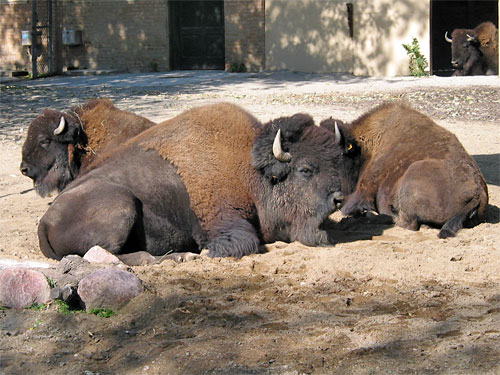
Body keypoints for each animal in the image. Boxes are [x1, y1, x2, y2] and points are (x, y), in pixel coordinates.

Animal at [38, 103, 348, 262]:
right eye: (305, 169)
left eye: (336, 163)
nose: (338, 199)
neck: (249, 171)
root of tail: (44, 222)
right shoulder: (222, 223)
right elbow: (242, 242)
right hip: (121, 205)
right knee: (108, 254)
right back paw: (174, 257)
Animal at [326, 102, 490, 238]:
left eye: (336, 156)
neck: (366, 148)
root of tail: (478, 192)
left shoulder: (364, 189)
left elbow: (347, 206)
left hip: (412, 174)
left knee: (408, 223)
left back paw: (374, 214)